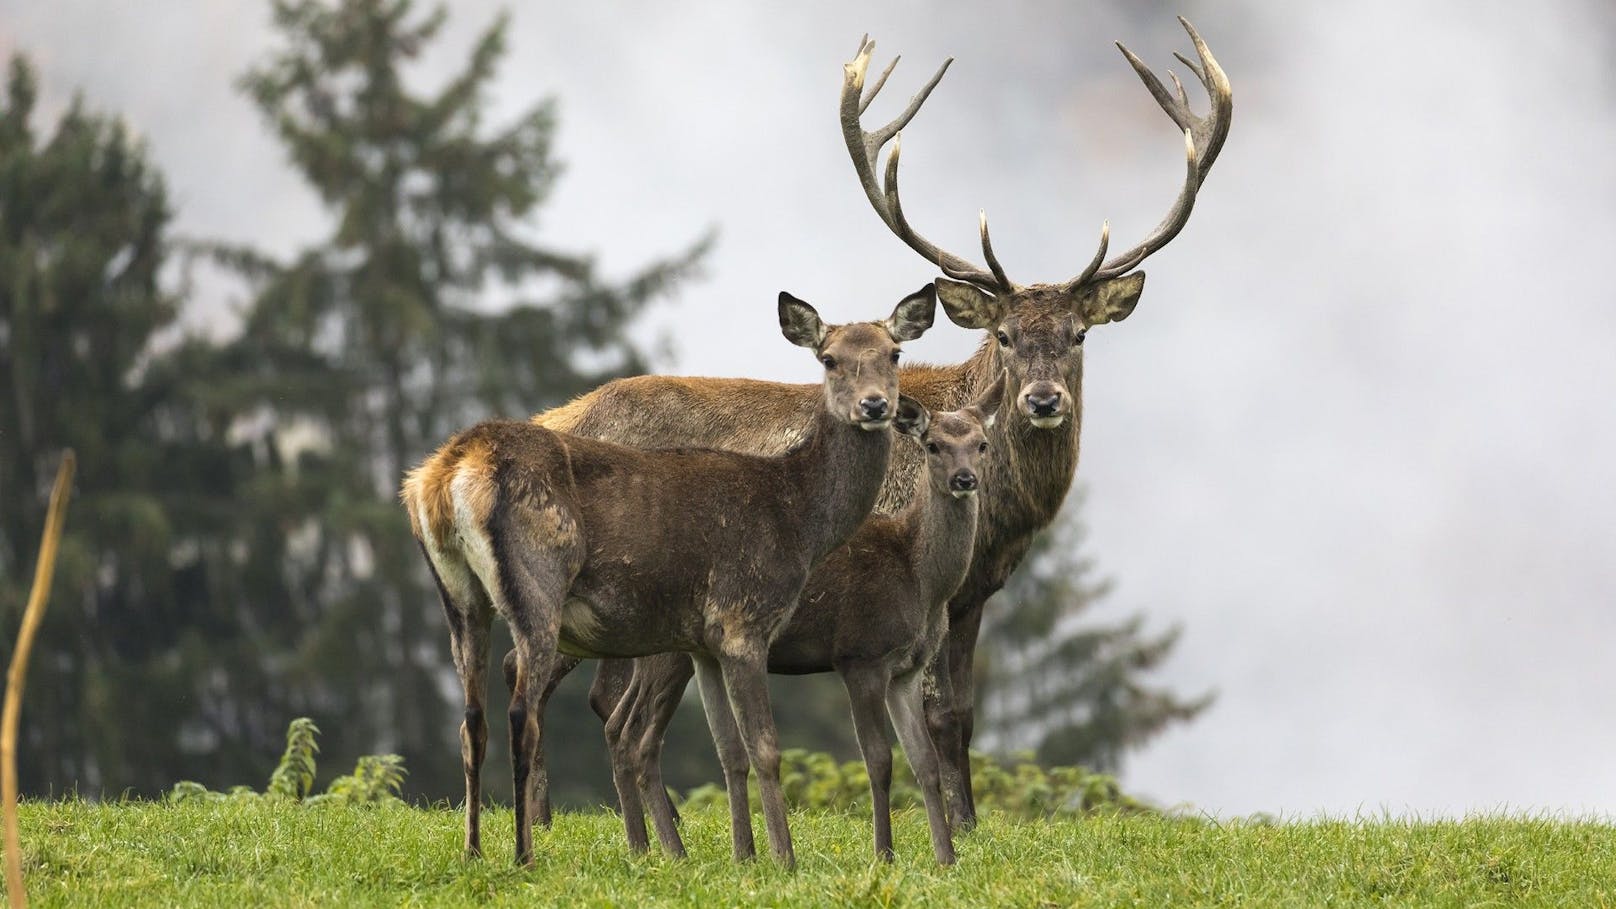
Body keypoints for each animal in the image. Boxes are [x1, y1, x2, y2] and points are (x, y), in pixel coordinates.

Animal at [400, 283, 937, 860]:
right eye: (829, 358)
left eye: (894, 354)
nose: (875, 405)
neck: (797, 518)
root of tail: (446, 470)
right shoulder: (742, 618)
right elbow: (766, 747)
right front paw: (783, 860)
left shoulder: (703, 640)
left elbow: (733, 748)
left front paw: (747, 857)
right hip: (538, 582)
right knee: (522, 713)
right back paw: (523, 855)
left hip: (459, 596)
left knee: (470, 720)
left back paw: (474, 851)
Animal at [588, 372, 1001, 860]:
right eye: (933, 445)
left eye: (982, 443)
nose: (964, 479)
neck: (921, 582)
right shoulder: (861, 653)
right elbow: (879, 760)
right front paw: (883, 854)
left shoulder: (907, 669)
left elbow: (924, 762)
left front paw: (946, 858)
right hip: (669, 651)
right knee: (638, 735)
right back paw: (669, 851)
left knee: (621, 727)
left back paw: (644, 848)